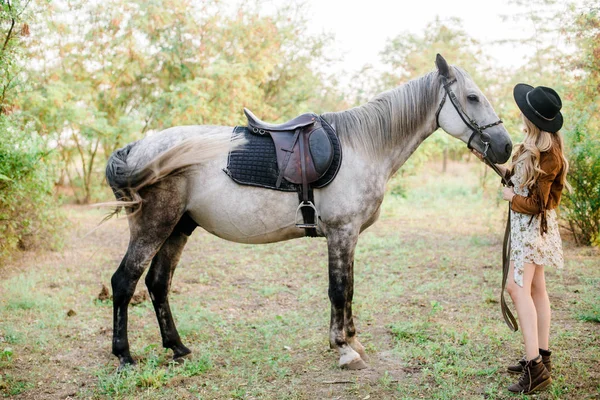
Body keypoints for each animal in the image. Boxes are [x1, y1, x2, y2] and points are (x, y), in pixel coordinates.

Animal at [104, 54, 510, 370]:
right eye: (473, 97)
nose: (505, 146)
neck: (363, 145)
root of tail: (138, 148)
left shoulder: (348, 235)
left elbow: (348, 288)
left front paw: (351, 340)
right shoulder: (341, 232)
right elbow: (339, 289)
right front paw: (344, 348)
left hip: (178, 227)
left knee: (158, 284)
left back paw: (177, 347)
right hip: (154, 226)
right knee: (124, 282)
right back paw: (124, 356)